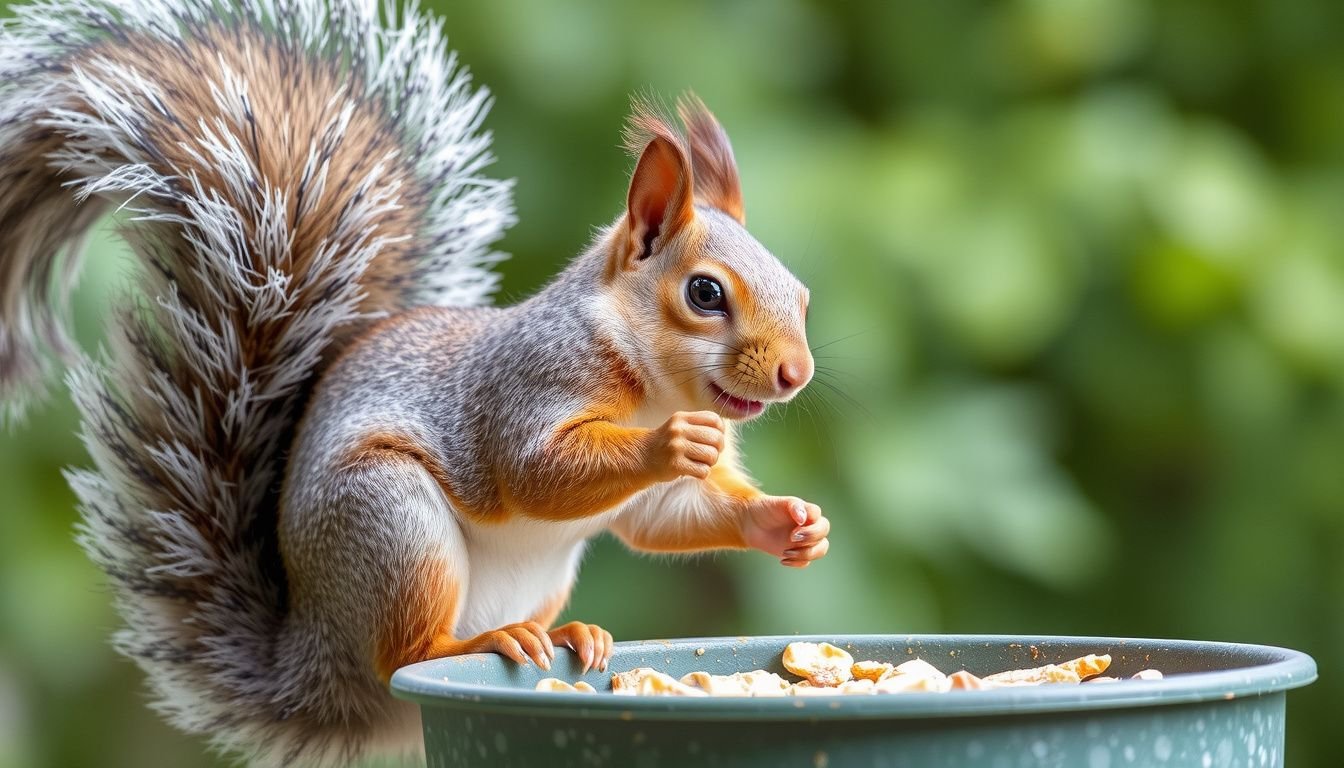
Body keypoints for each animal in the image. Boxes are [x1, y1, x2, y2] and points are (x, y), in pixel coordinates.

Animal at [0, 0, 828, 765]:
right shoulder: (525, 385)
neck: (652, 383)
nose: (796, 373)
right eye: (704, 293)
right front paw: (668, 443)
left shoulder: (653, 494)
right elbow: (532, 471)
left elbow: (666, 517)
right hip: (391, 522)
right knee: (409, 652)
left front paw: (790, 522)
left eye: (801, 293)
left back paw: (570, 631)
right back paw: (489, 640)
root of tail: (318, 662)